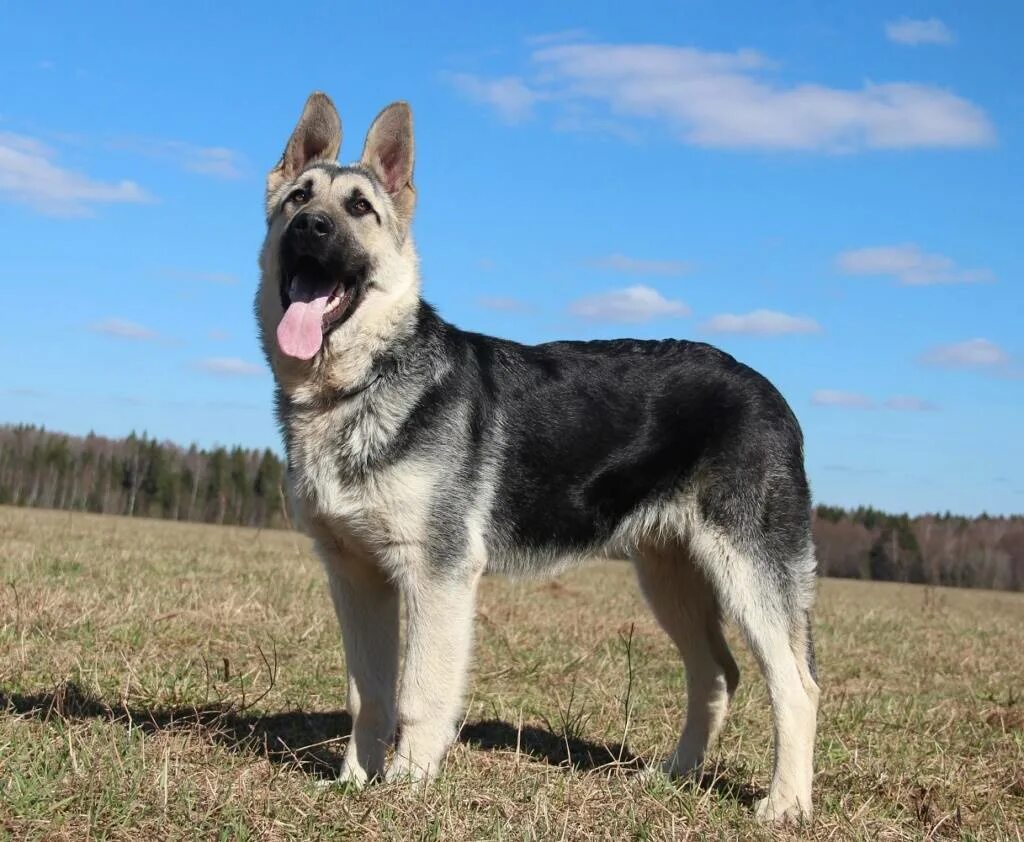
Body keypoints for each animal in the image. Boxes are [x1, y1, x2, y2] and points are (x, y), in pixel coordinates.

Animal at [258, 92, 823, 823]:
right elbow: (369, 694)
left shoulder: (436, 574)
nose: (312, 227)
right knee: (716, 676)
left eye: (359, 209)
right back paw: (671, 777)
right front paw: (355, 782)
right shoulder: (355, 576)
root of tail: (770, 391)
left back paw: (785, 805)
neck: (356, 385)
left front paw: (405, 788)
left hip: (749, 574)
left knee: (796, 687)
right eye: (299, 197)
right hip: (670, 575)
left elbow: (419, 694)